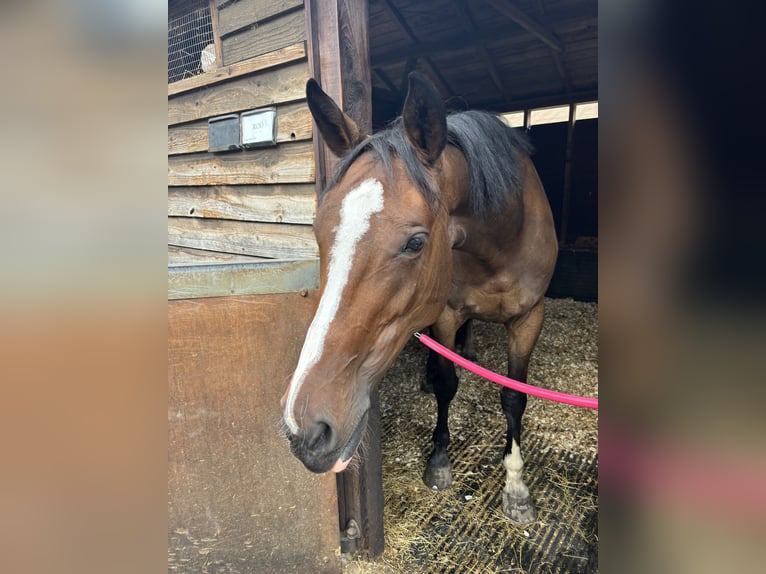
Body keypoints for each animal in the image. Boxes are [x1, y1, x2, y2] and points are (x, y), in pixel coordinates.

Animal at [282, 72, 560, 528]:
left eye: (416, 243)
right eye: (318, 230)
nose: (304, 428)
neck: (502, 237)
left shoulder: (529, 318)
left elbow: (514, 397)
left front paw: (517, 488)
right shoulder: (446, 312)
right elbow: (448, 384)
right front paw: (440, 461)